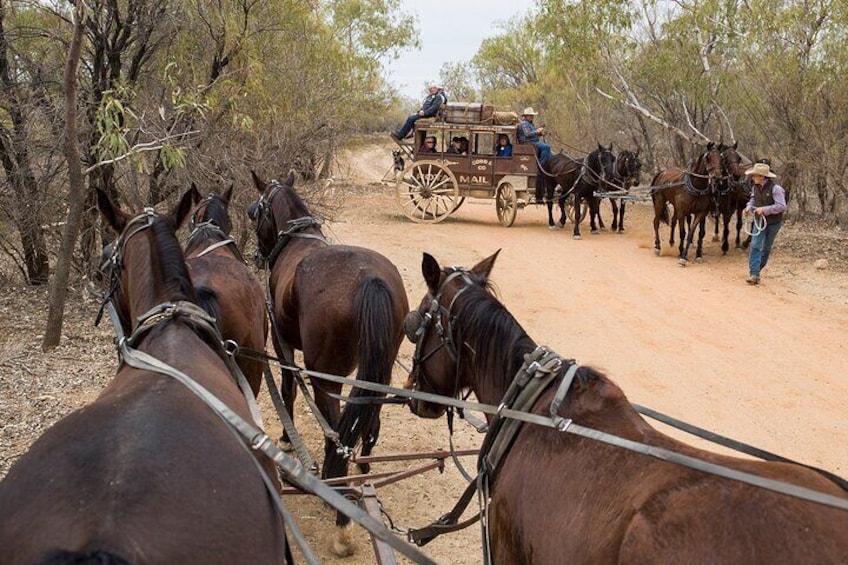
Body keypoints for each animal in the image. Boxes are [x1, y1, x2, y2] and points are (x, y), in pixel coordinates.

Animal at [247, 171, 410, 556]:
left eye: (255, 211)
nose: (258, 254)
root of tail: (369, 279)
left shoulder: (283, 346)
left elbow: (288, 392)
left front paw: (286, 438)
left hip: (327, 377)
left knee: (336, 431)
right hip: (378, 374)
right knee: (369, 424)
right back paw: (361, 474)